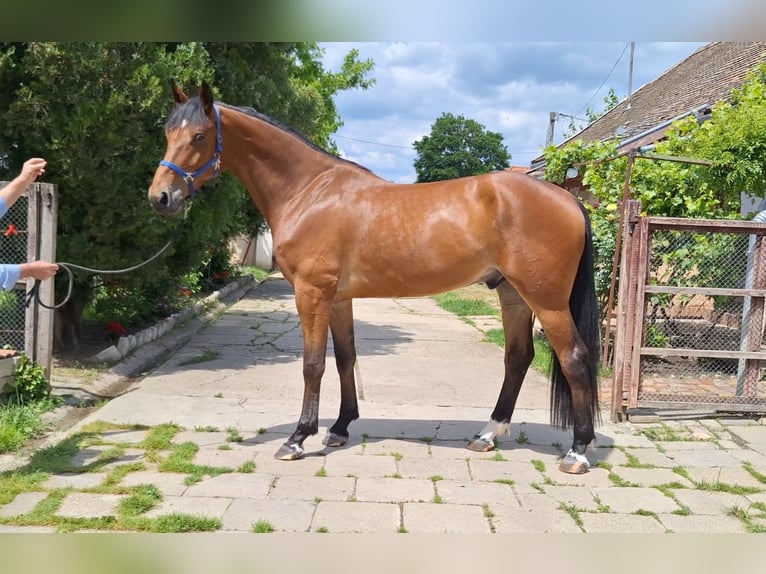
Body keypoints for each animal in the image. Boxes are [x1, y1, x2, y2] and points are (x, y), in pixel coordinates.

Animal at [148, 83, 601, 474]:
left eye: (200, 136)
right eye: (168, 132)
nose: (161, 198)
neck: (309, 192)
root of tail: (567, 198)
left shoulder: (311, 293)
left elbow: (313, 364)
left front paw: (297, 438)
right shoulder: (337, 298)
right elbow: (345, 358)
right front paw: (338, 428)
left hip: (547, 300)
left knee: (575, 358)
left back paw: (577, 451)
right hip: (513, 295)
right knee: (518, 358)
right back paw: (488, 434)